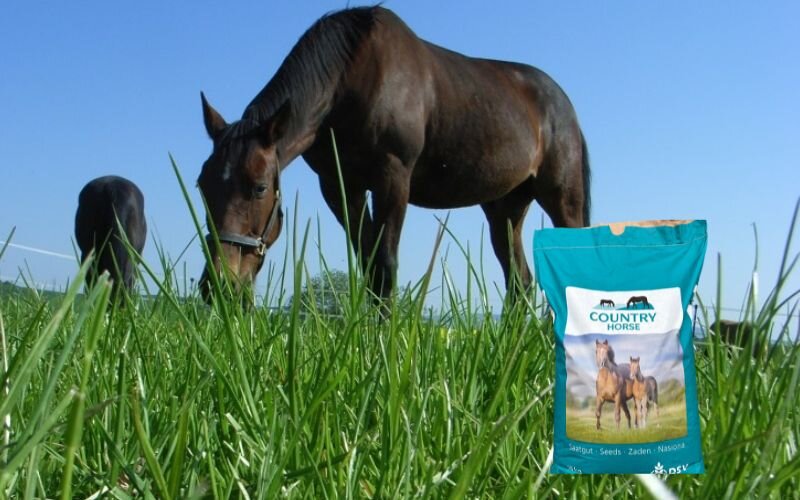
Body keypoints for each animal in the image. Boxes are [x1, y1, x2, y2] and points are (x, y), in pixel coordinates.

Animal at [197, 6, 590, 302]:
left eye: (260, 187)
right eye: (201, 187)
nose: (217, 285)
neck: (352, 77)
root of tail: (564, 104)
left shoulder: (393, 179)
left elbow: (385, 264)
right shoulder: (341, 188)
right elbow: (367, 262)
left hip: (562, 200)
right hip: (505, 208)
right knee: (519, 281)